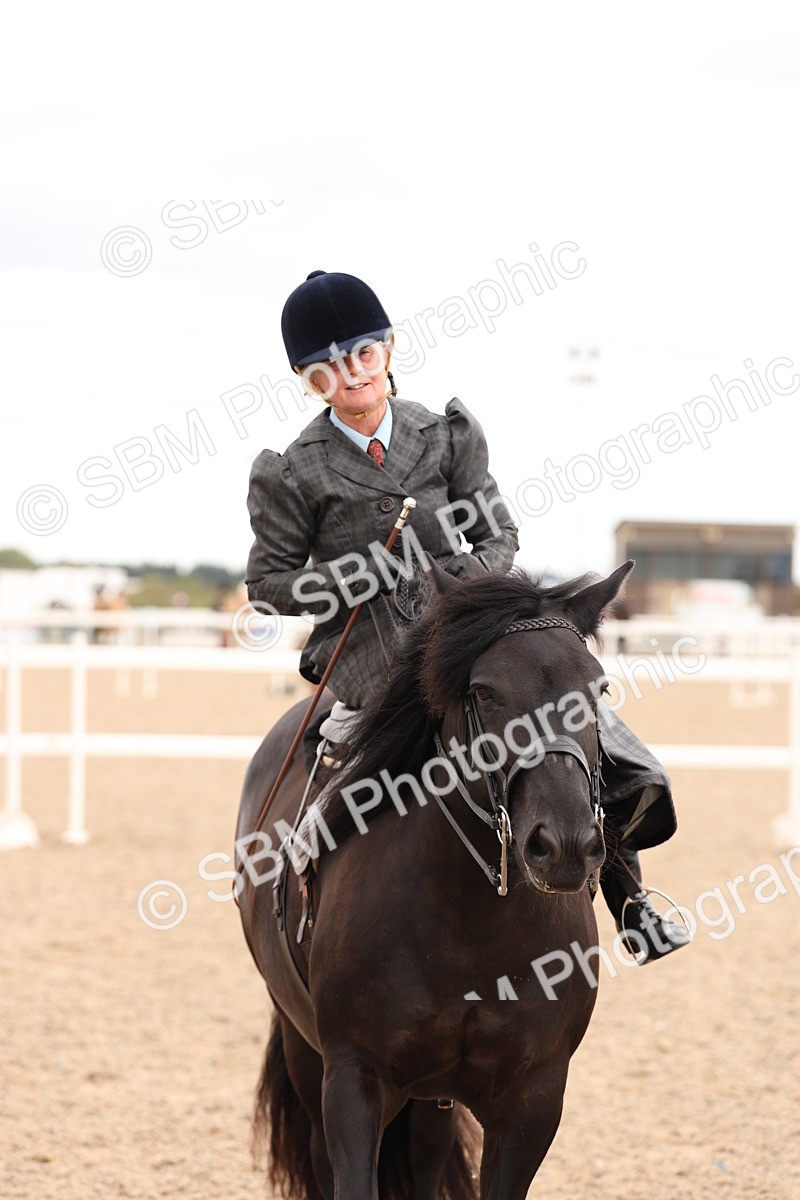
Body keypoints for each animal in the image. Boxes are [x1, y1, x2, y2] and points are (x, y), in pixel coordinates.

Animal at [235, 558, 634, 1199]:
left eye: (598, 690)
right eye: (484, 692)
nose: (565, 845)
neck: (469, 927)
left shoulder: (534, 1096)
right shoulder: (353, 1081)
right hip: (303, 1048)